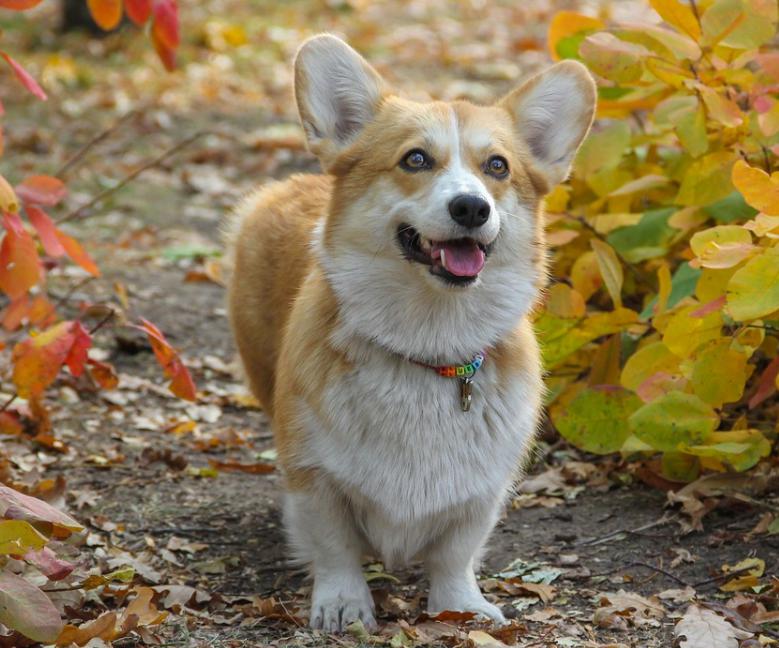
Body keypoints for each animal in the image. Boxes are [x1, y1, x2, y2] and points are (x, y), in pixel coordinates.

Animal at [227, 35, 596, 632]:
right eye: (415, 159)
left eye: (497, 166)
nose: (471, 207)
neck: (429, 342)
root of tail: (293, 183)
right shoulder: (314, 475)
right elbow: (334, 547)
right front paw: (343, 604)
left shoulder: (481, 491)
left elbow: (455, 554)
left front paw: (460, 606)